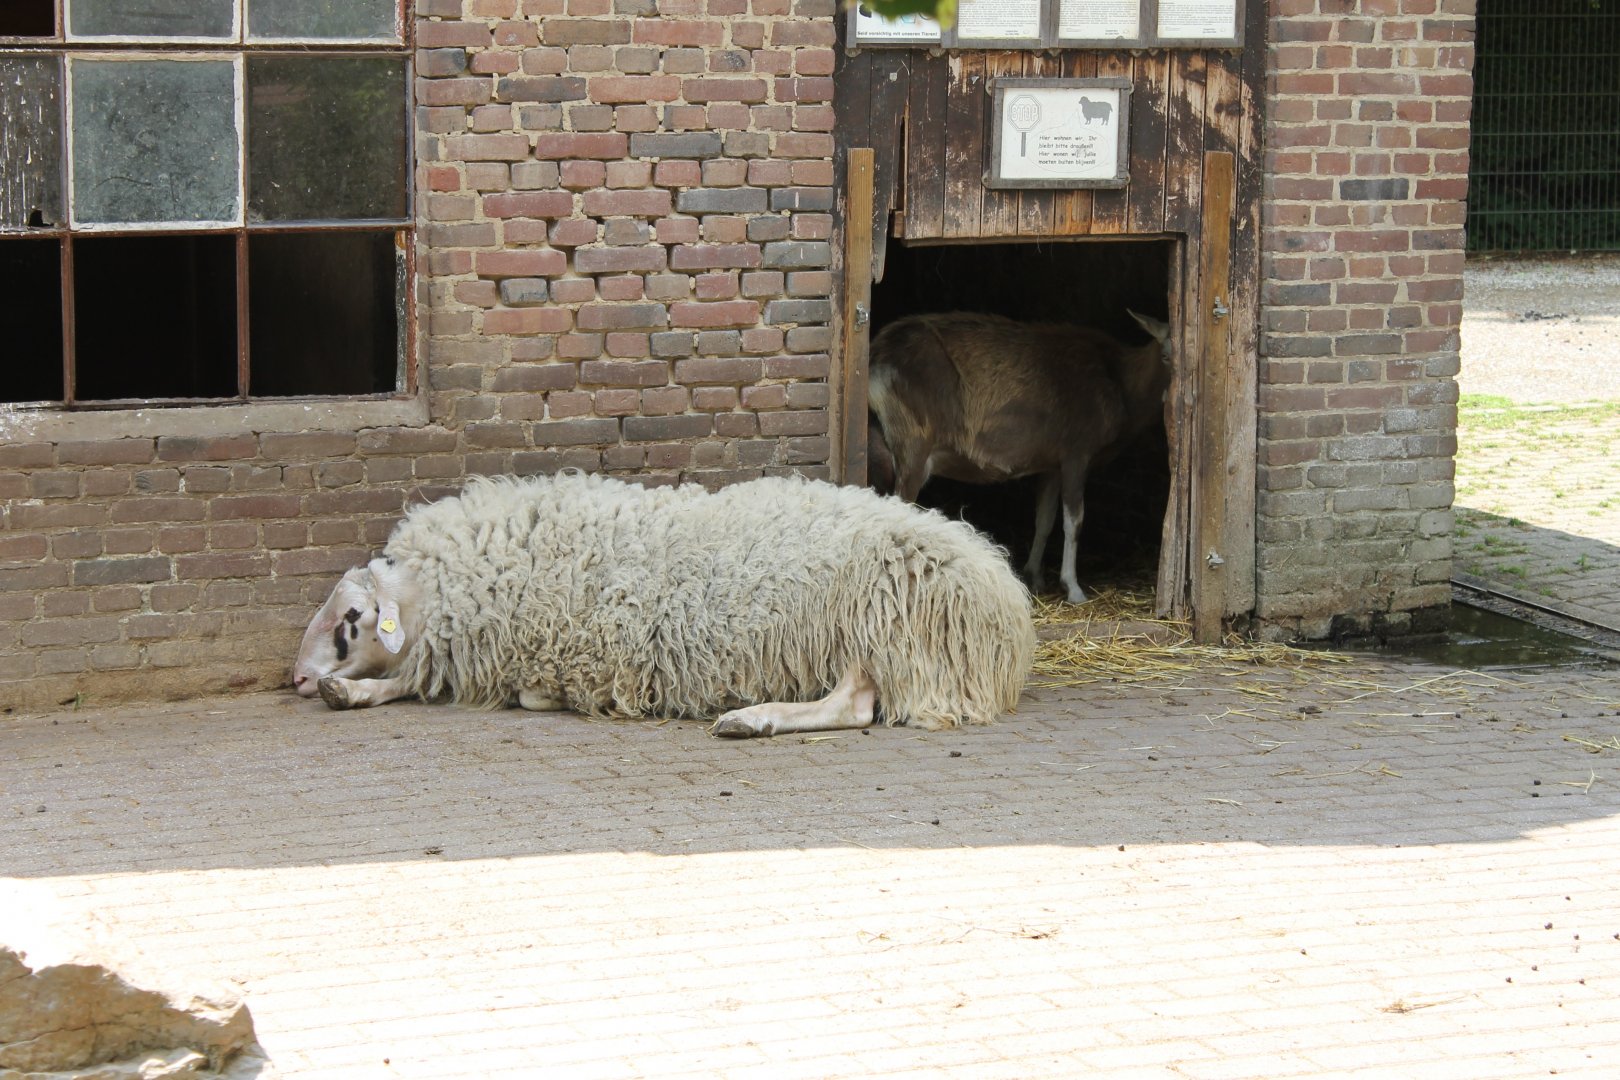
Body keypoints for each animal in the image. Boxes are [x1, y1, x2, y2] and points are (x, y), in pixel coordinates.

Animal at [292, 471, 1035, 738]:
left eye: (350, 620)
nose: (296, 676)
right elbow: (400, 683)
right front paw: (348, 694)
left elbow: (530, 693)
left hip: (876, 617)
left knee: (852, 703)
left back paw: (751, 719)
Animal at [867, 310, 1172, 605]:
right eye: (1167, 355)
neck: (1120, 381)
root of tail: (877, 360)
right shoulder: (1077, 453)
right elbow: (1074, 520)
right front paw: (1073, 588)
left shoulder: (1052, 464)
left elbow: (1045, 519)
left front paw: (1033, 576)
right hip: (912, 448)